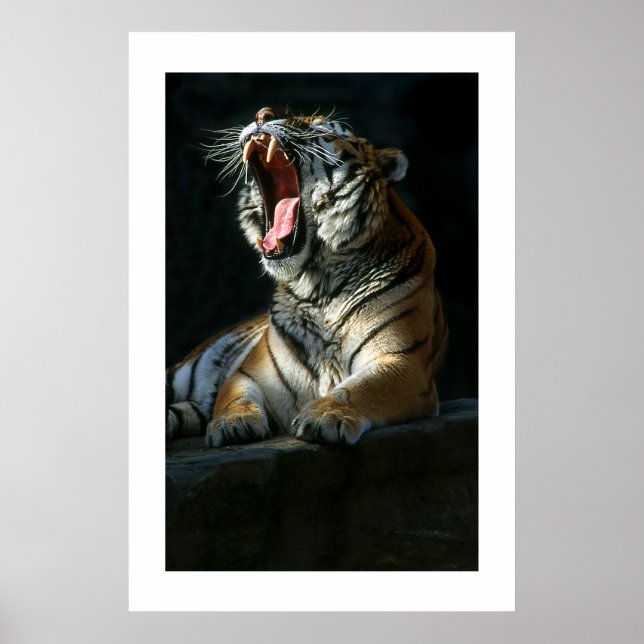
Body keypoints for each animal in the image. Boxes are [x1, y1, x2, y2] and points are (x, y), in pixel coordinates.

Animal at [166, 107, 448, 447]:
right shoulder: (249, 372)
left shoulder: (402, 361)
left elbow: (357, 390)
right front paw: (233, 423)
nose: (262, 114)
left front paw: (325, 417)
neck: (318, 284)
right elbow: (234, 395)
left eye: (321, 128)